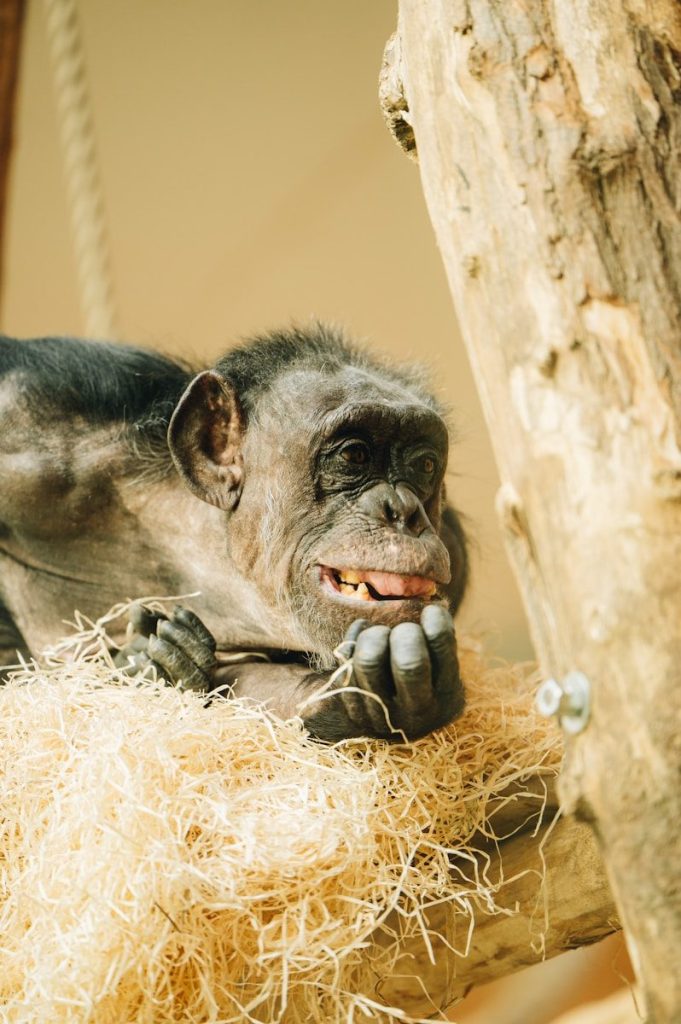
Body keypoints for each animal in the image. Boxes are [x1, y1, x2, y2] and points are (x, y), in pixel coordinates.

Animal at [0, 324, 468, 742]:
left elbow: (251, 684)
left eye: (424, 465)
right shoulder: (32, 417)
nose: (404, 510)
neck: (210, 552)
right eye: (354, 455)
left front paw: (383, 688)